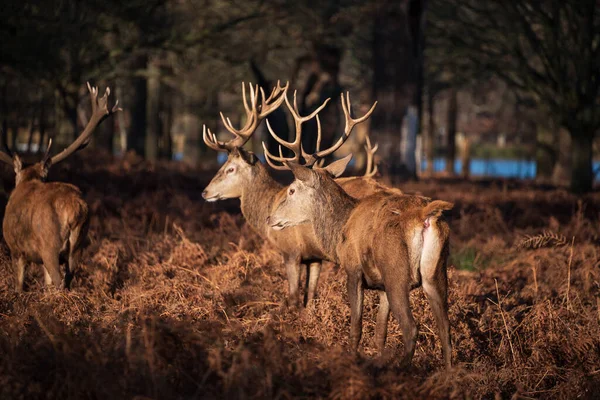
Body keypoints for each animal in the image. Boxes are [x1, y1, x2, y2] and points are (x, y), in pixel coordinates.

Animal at [0, 83, 120, 290]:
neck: (29, 179)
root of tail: (75, 208)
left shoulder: (16, 250)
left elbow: (19, 285)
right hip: (78, 246)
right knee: (68, 278)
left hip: (49, 247)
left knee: (59, 282)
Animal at [264, 160, 452, 368]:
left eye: (292, 190)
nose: (269, 218)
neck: (340, 229)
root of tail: (424, 216)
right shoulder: (381, 286)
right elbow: (380, 332)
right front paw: (379, 359)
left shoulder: (353, 271)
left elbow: (356, 327)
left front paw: (351, 360)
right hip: (436, 273)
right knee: (445, 329)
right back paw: (449, 373)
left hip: (396, 275)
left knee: (411, 328)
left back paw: (402, 369)